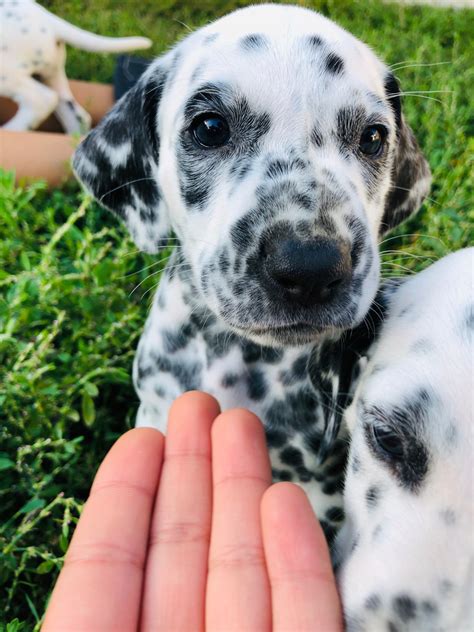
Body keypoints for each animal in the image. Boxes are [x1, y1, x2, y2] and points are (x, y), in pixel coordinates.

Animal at [0, 0, 151, 132]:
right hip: (53, 75)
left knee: (42, 99)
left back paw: (9, 130)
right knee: (78, 117)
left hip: (6, 73)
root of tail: (46, 18)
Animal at [72, 3, 432, 540]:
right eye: (209, 127)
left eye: (373, 137)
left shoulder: (321, 486)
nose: (311, 266)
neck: (240, 359)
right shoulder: (154, 412)